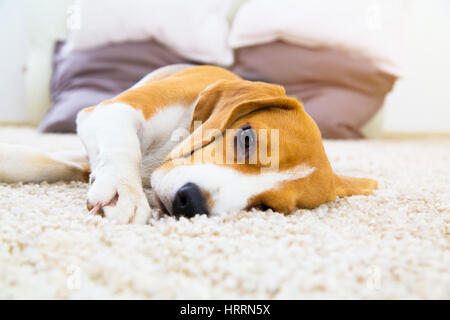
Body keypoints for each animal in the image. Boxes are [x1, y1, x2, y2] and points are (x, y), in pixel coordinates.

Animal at [0, 65, 376, 224]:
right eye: (246, 138)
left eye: (267, 207)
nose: (191, 201)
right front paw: (124, 191)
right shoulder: (111, 111)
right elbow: (119, 150)